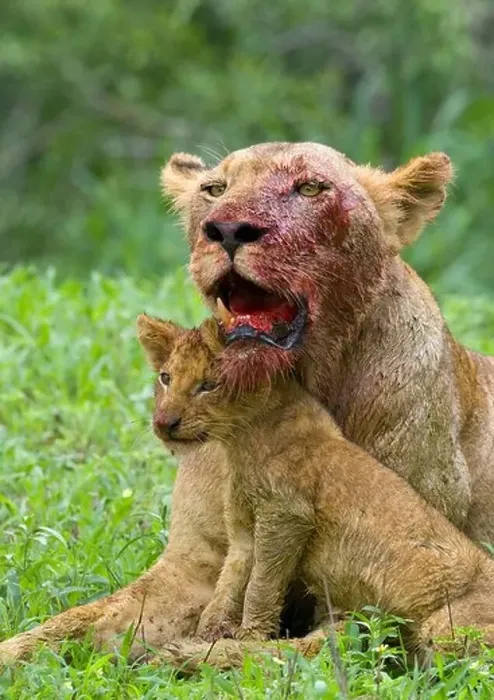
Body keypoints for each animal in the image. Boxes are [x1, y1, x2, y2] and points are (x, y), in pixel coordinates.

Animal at [2, 142, 494, 667]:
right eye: (214, 189)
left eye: (311, 188)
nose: (228, 230)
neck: (258, 418)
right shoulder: (195, 564)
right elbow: (79, 619)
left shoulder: (377, 577)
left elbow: (284, 652)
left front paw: (190, 656)